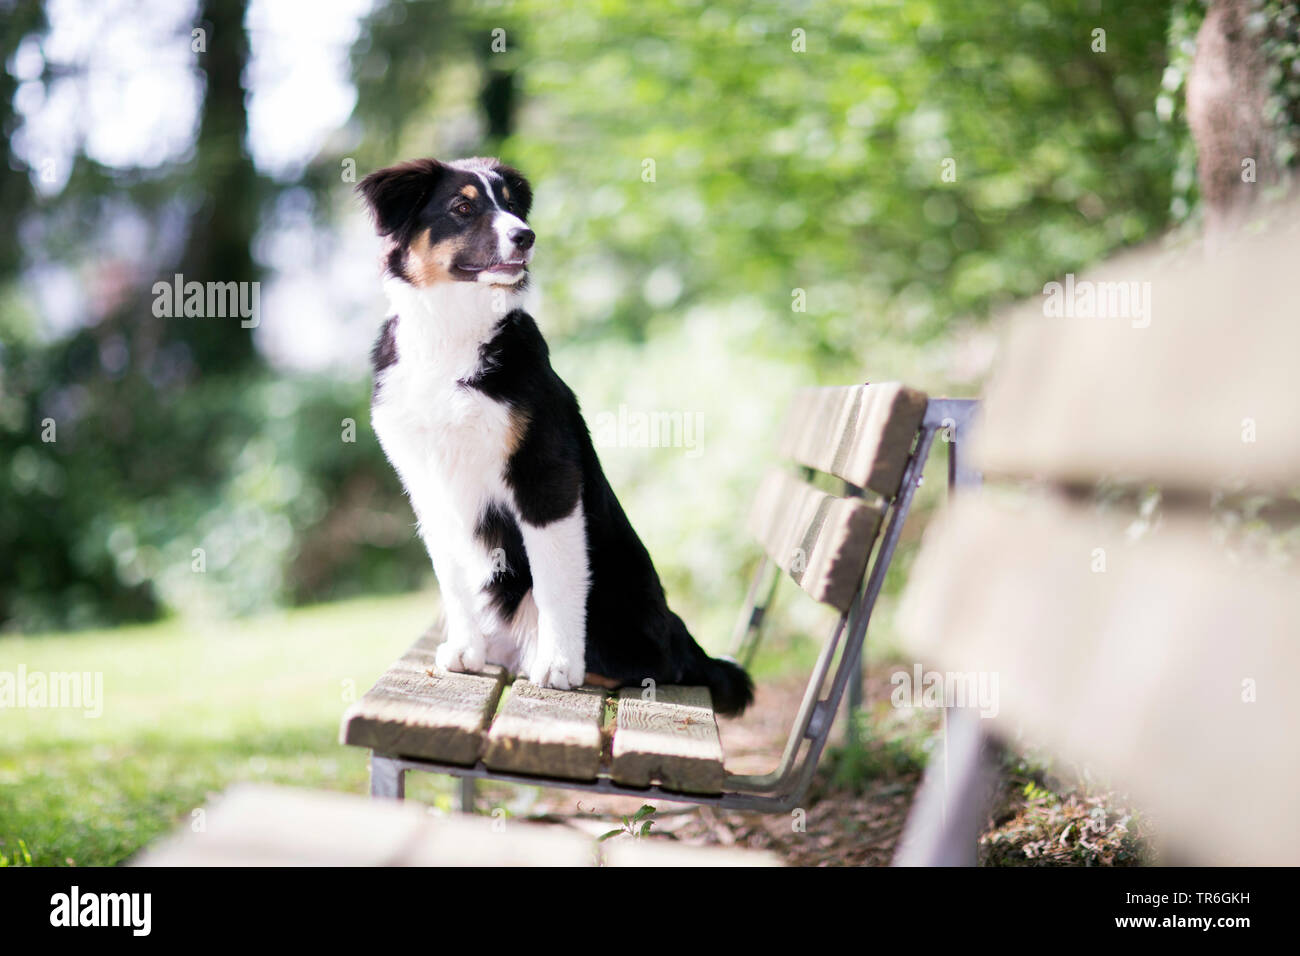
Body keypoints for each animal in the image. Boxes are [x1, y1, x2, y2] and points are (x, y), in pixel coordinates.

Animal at [361, 157, 759, 712]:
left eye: (511, 205)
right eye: (462, 207)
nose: (525, 236)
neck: (452, 334)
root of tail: (688, 643)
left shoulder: (544, 477)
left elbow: (555, 579)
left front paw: (558, 665)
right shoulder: (428, 486)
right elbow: (452, 579)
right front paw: (465, 651)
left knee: (649, 667)